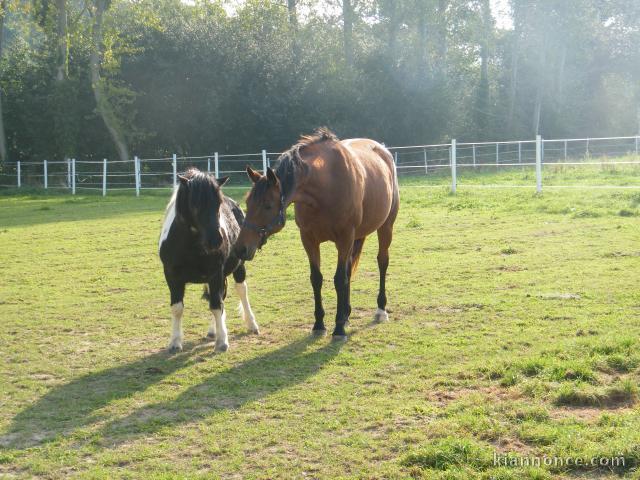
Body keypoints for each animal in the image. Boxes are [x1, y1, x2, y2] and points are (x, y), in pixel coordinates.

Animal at [159, 168, 259, 353]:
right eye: (195, 204)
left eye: (218, 203)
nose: (216, 240)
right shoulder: (171, 276)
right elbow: (177, 308)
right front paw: (175, 342)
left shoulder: (215, 274)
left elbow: (216, 305)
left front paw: (222, 342)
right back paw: (213, 331)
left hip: (238, 267)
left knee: (241, 291)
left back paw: (251, 324)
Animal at [234, 128, 399, 339]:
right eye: (247, 202)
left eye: (268, 205)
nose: (240, 248)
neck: (326, 187)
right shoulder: (309, 239)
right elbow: (317, 279)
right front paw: (320, 324)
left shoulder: (344, 238)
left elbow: (339, 279)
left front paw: (338, 328)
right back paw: (346, 313)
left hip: (385, 227)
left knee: (382, 262)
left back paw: (380, 310)